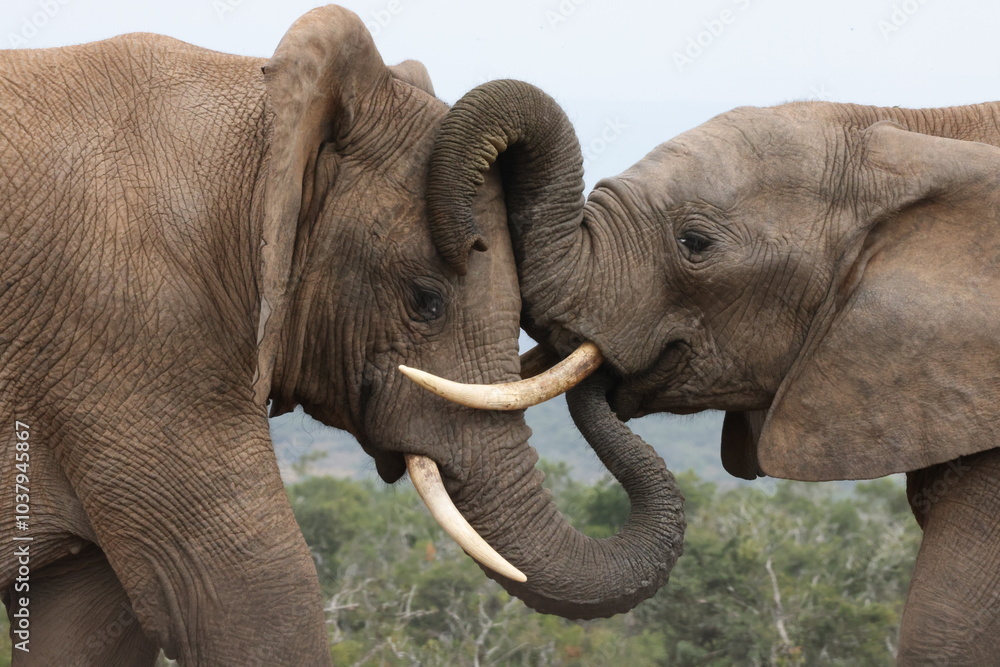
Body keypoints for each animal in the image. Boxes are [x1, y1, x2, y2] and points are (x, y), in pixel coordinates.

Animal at [0, 11, 685, 666]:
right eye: (427, 301)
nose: (626, 366)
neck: (270, 121)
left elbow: (94, 624)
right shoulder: (130, 328)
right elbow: (251, 593)